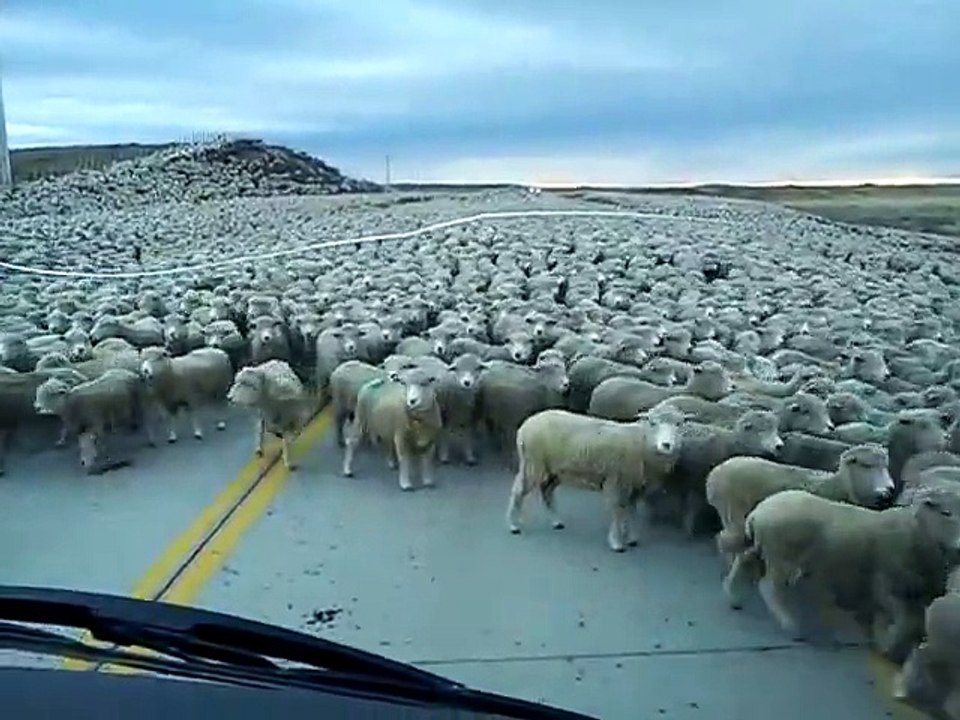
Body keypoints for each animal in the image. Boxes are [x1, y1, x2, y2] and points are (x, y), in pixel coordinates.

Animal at [507, 402, 688, 552]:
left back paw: (556, 521)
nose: (666, 445)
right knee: (518, 491)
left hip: (554, 470)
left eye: (679, 424)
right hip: (532, 463)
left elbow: (630, 512)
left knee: (547, 491)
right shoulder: (616, 481)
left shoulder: (636, 487)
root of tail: (528, 422)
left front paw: (630, 537)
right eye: (652, 423)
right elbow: (618, 512)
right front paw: (616, 542)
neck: (641, 442)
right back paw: (513, 525)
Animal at [706, 444, 896, 606]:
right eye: (866, 465)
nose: (889, 490)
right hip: (736, 514)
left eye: (886, 466)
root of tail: (715, 473)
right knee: (726, 541)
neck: (838, 486)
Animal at [741, 487, 960, 663]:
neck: (918, 532)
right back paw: (790, 624)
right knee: (769, 587)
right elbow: (906, 624)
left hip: (764, 550)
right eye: (946, 512)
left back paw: (737, 598)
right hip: (781, 558)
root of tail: (758, 511)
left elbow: (913, 624)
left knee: (744, 563)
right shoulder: (889, 585)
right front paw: (891, 648)